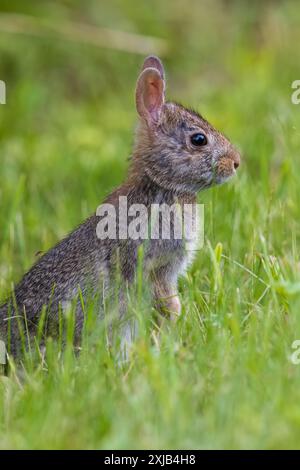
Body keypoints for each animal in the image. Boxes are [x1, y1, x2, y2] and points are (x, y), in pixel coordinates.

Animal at [0, 56, 240, 356]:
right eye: (199, 140)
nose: (236, 162)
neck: (159, 182)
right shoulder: (153, 264)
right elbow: (166, 298)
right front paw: (175, 319)